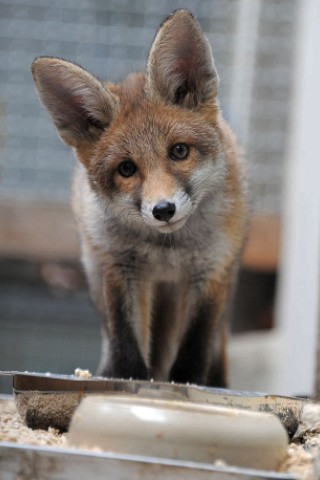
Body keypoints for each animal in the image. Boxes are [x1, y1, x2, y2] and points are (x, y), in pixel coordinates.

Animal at [31, 9, 248, 388]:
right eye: (126, 169)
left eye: (179, 151)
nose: (163, 210)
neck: (167, 250)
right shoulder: (121, 267)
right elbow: (126, 342)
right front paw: (129, 382)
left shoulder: (210, 271)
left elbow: (195, 346)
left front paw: (186, 385)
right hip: (94, 269)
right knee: (111, 334)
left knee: (215, 342)